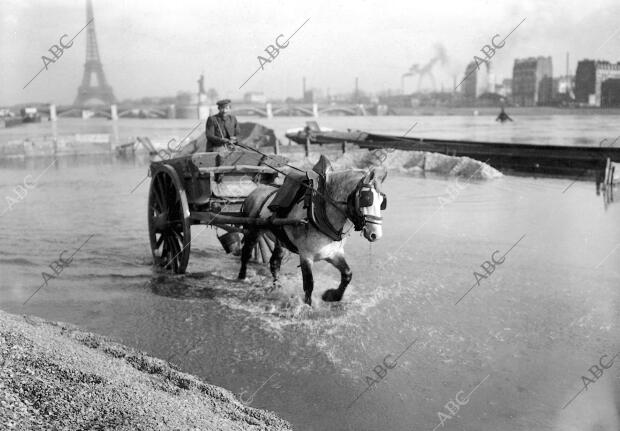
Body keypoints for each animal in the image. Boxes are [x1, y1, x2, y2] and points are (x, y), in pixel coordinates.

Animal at [236, 157, 386, 306]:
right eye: (367, 199)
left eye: (382, 202)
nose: (376, 235)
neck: (323, 211)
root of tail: (254, 192)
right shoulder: (306, 256)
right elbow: (309, 284)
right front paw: (308, 305)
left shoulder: (333, 253)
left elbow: (347, 275)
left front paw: (332, 295)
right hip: (253, 232)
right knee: (246, 253)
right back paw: (242, 276)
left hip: (280, 240)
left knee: (274, 263)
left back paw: (276, 286)